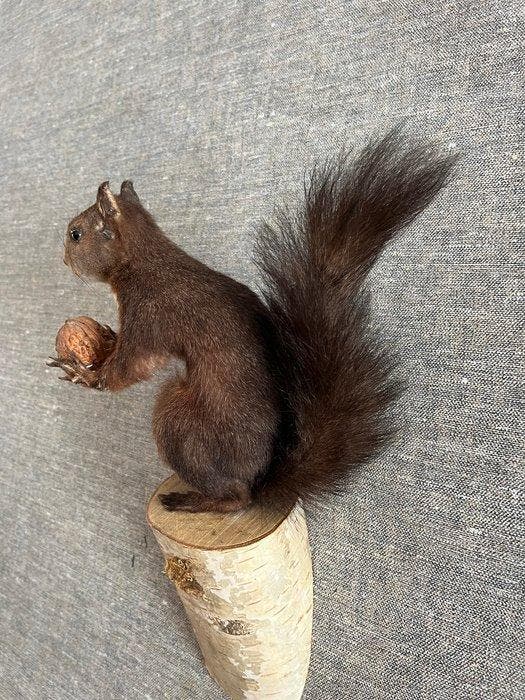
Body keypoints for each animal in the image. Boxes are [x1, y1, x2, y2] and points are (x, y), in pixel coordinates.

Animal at [50, 130, 456, 513]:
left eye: (76, 234)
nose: (64, 259)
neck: (145, 261)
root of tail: (259, 479)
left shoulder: (153, 315)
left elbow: (130, 366)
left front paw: (87, 375)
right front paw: (102, 341)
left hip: (179, 421)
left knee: (236, 498)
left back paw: (196, 501)